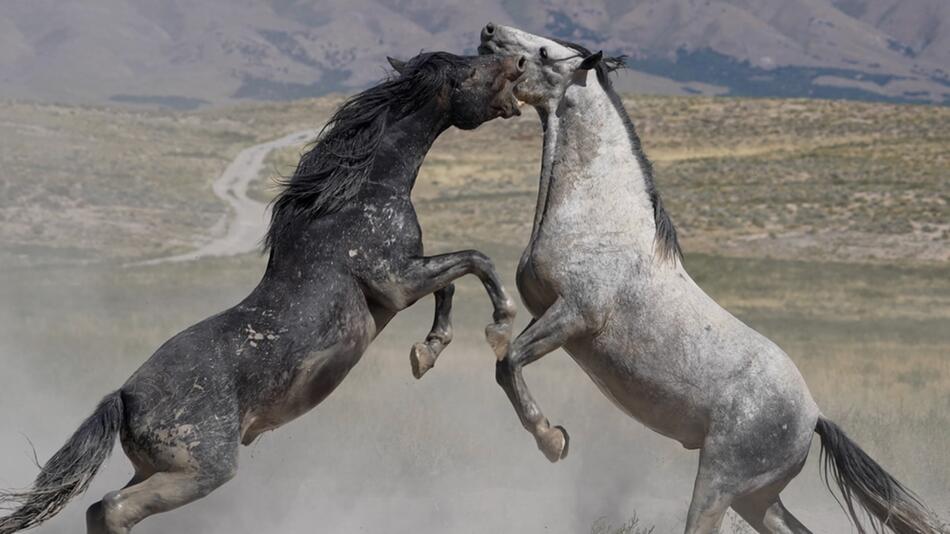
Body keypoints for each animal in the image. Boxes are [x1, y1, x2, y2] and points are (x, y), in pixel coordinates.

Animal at [0, 51, 528, 534]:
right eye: (470, 70)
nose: (518, 61)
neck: (358, 194)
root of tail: (125, 398)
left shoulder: (406, 280)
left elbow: (452, 284)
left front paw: (427, 352)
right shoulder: (396, 282)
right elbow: (474, 261)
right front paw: (499, 324)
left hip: (154, 469)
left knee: (101, 508)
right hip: (200, 472)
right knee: (112, 508)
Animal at [480, 23, 940, 532]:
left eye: (544, 52)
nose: (489, 33)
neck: (601, 219)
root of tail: (814, 417)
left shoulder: (572, 315)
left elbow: (509, 361)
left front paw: (553, 440)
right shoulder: (545, 312)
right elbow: (502, 352)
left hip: (719, 484)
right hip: (757, 499)